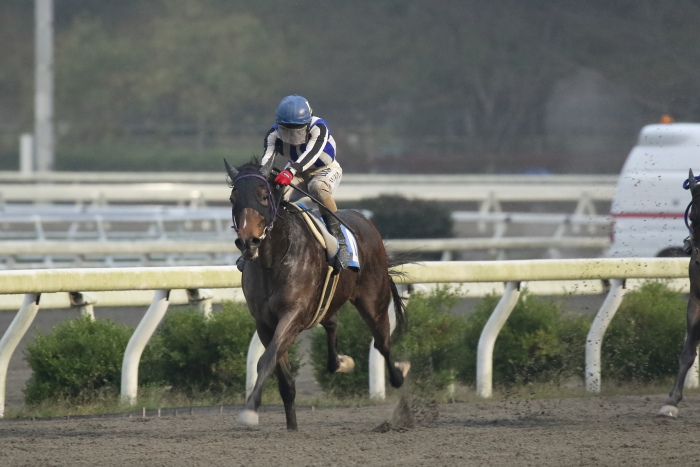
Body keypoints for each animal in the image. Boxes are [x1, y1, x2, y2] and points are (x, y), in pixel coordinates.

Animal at [224, 158, 410, 432]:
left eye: (263, 196)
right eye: (233, 197)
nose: (248, 242)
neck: (273, 260)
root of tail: (365, 221)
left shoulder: (293, 315)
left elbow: (266, 360)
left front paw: (250, 410)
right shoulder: (264, 322)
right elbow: (281, 373)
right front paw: (291, 424)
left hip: (373, 301)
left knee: (382, 343)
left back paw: (399, 374)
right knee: (332, 323)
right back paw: (341, 363)